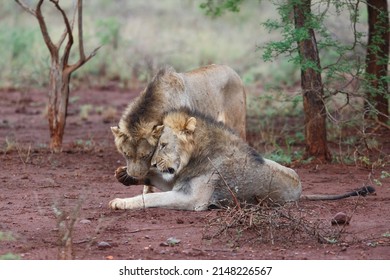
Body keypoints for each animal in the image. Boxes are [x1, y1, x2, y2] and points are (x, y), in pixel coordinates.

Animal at [109, 108, 374, 211]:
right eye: (155, 148)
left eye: (163, 145)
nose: (154, 163)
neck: (194, 157)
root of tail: (301, 191)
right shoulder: (179, 181)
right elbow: (158, 182)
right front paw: (126, 175)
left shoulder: (193, 199)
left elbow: (151, 199)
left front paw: (120, 202)